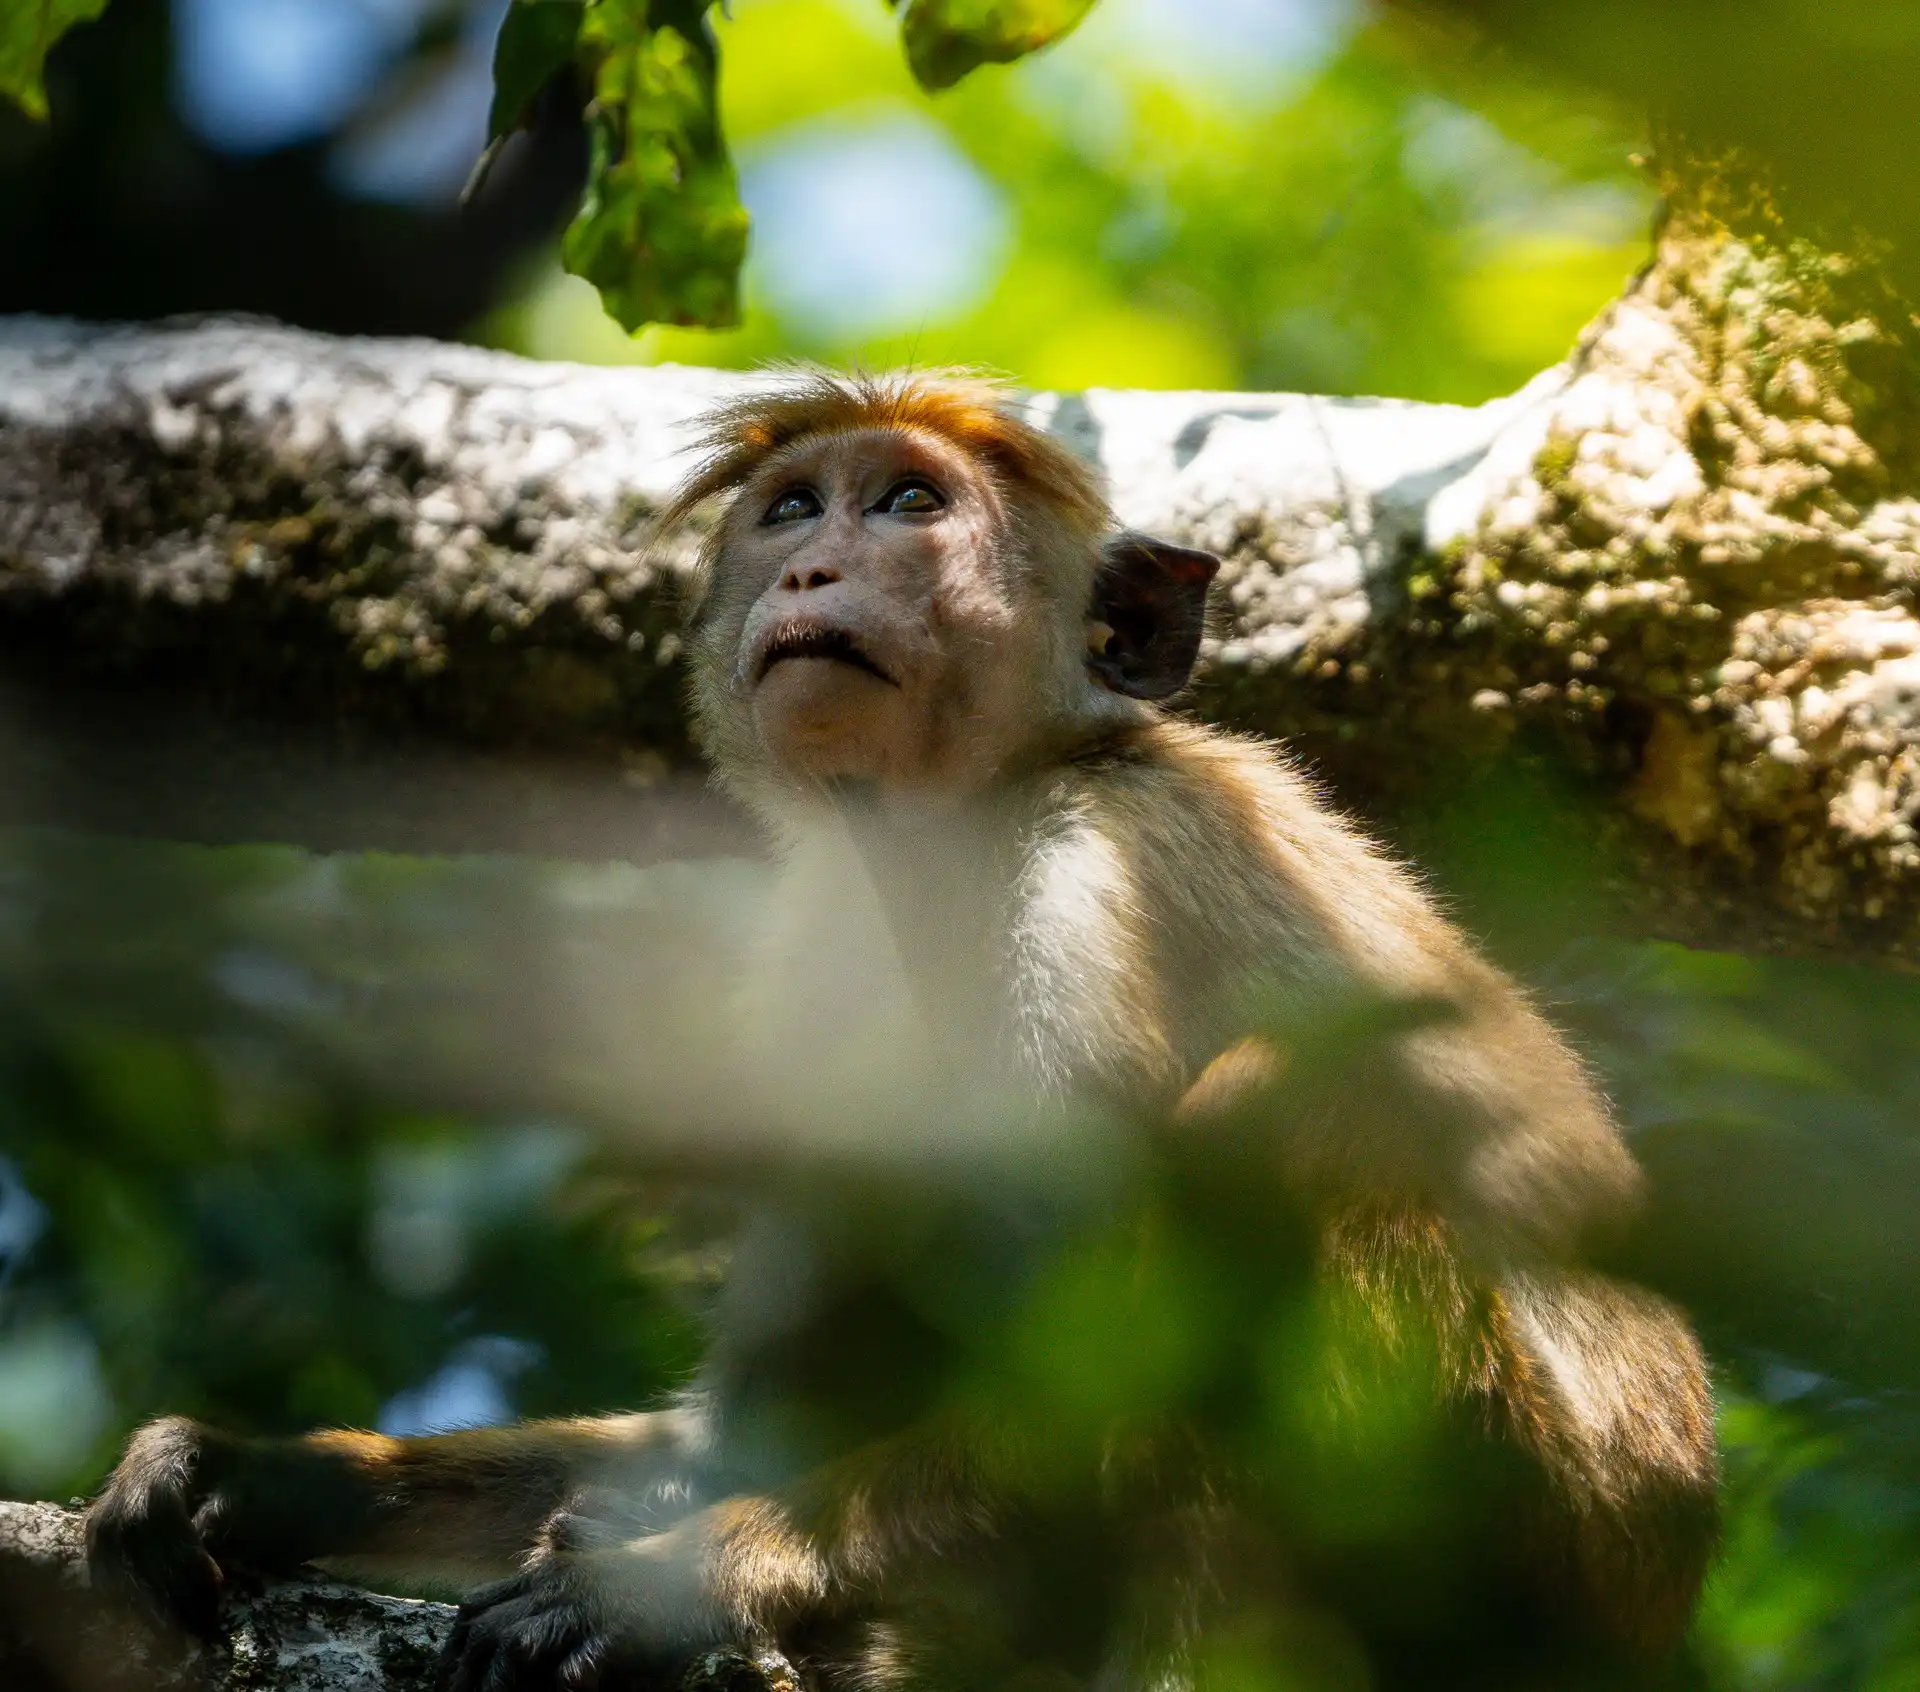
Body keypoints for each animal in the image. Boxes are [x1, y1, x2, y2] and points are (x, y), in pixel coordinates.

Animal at [85, 369, 1717, 1692]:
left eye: (912, 505)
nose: (811, 564)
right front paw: (262, 1478)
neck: (957, 833)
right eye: (793, 509)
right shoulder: (826, 948)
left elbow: (1103, 1367)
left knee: (1303, 1115)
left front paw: (665, 1583)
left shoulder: (1091, 876)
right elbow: (736, 1422)